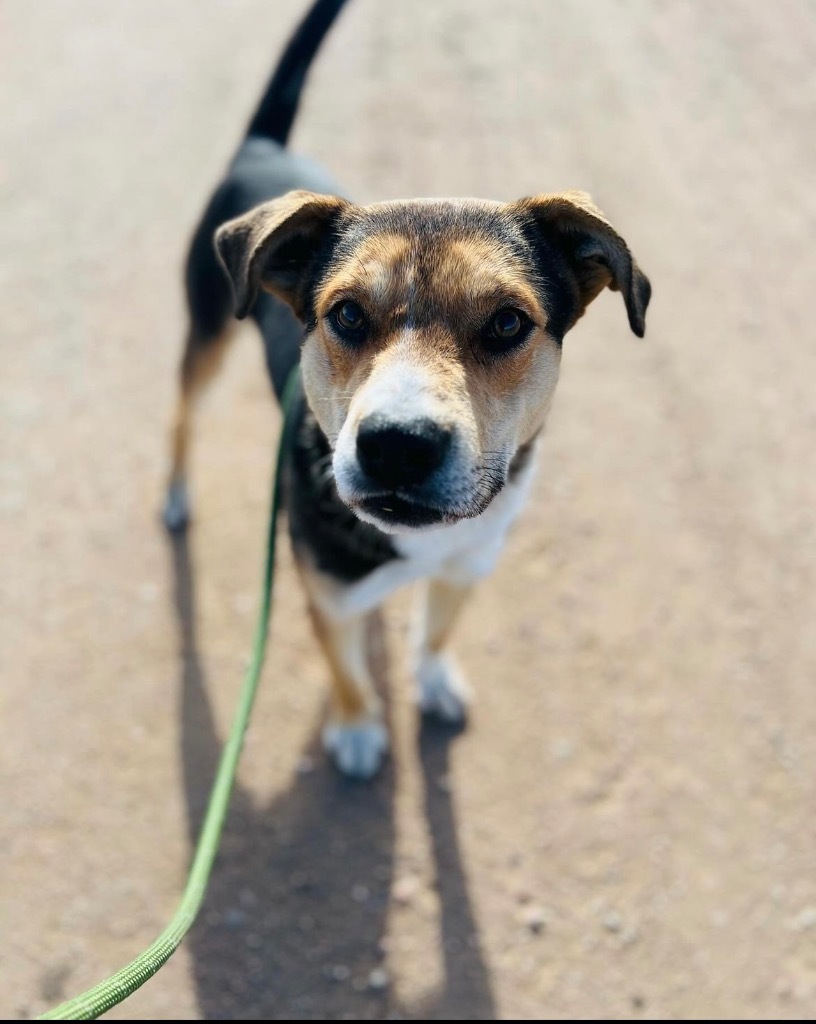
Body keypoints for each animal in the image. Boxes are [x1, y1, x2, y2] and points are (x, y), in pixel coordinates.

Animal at [163, 0, 651, 774]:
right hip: (208, 327)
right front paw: (359, 727)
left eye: (508, 322)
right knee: (182, 414)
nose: (397, 445)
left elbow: (440, 629)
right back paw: (177, 494)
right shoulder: (327, 597)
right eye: (345, 314)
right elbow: (346, 669)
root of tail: (261, 148)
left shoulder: (470, 564)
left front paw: (434, 678)